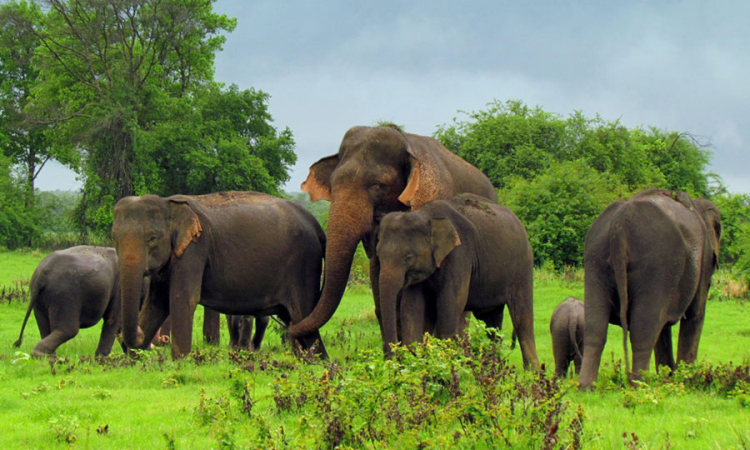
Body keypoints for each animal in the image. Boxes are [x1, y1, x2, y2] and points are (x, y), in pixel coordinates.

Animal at [113, 192, 328, 360]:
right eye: (115, 238)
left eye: (152, 239)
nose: (140, 335)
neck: (168, 203)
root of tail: (315, 223)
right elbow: (157, 303)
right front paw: (134, 361)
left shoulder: (195, 249)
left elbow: (183, 298)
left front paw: (180, 362)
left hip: (303, 267)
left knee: (303, 315)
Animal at [378, 193, 544, 370]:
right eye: (378, 255)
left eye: (408, 258)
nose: (392, 361)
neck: (426, 215)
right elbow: (411, 308)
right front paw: (416, 363)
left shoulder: (460, 254)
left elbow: (450, 302)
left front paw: (445, 365)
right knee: (491, 321)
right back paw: (494, 367)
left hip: (523, 266)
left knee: (522, 317)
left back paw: (532, 371)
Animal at [580, 188, 724, 388]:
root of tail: (620, 223)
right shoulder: (703, 259)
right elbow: (695, 316)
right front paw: (685, 379)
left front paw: (669, 377)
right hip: (657, 263)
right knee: (643, 331)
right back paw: (639, 385)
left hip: (595, 258)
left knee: (595, 328)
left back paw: (586, 388)